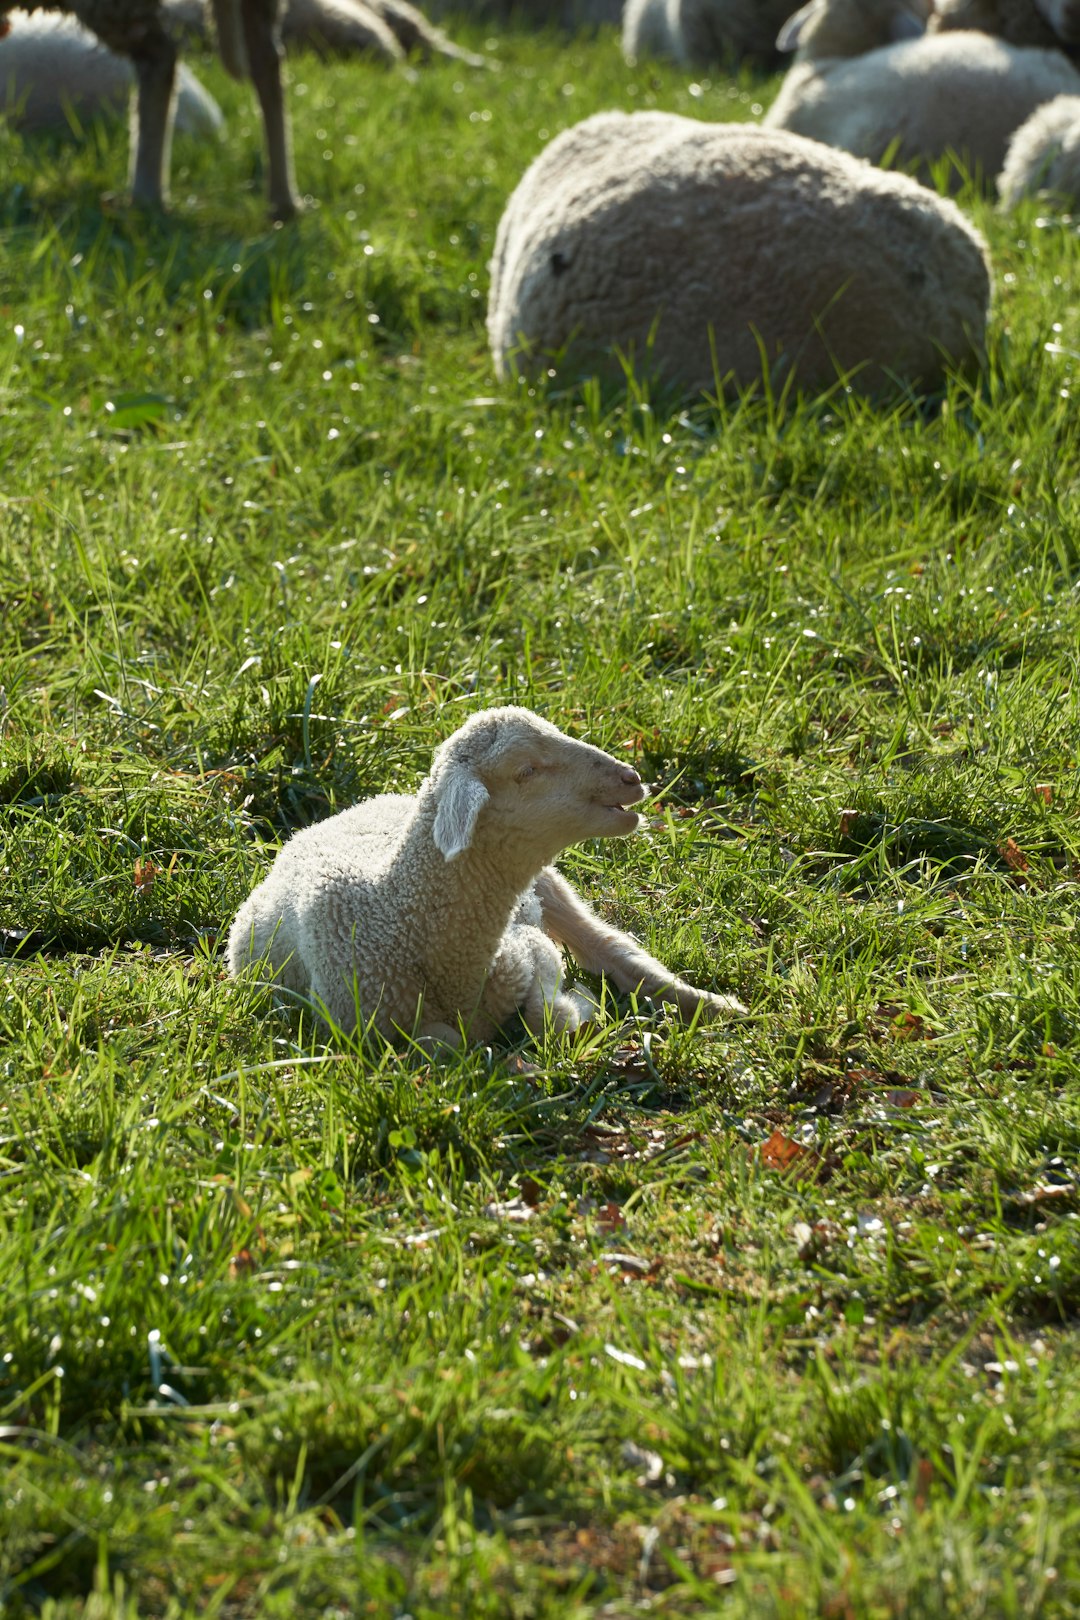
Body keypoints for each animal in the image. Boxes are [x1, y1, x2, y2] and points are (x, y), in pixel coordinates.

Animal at [226, 712, 744, 1049]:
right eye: (526, 770)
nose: (631, 778)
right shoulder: (358, 1030)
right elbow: (445, 1043)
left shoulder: (523, 947)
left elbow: (546, 1009)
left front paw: (577, 1006)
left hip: (549, 885)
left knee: (611, 948)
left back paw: (714, 1005)